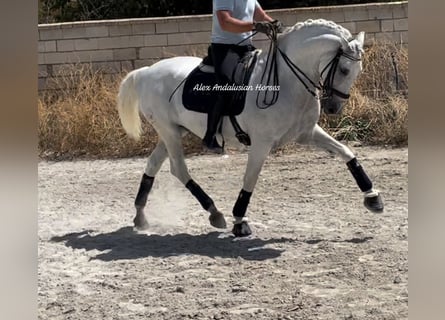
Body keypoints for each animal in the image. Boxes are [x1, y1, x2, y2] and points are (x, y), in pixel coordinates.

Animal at [117, 18, 382, 236]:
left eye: (358, 71)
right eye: (344, 70)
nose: (334, 107)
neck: (287, 81)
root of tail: (147, 72)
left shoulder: (306, 134)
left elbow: (346, 152)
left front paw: (373, 198)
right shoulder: (261, 143)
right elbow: (250, 178)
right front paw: (239, 221)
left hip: (172, 131)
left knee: (154, 164)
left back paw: (140, 216)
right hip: (169, 131)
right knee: (179, 169)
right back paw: (215, 212)